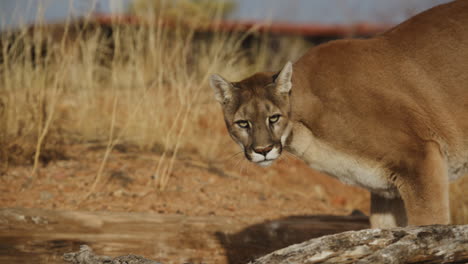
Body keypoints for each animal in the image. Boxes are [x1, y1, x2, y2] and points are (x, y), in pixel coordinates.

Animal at [212, 0, 468, 227]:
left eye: (273, 117)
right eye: (242, 123)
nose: (263, 150)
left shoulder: (420, 157)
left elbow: (429, 223)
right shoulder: (387, 191)